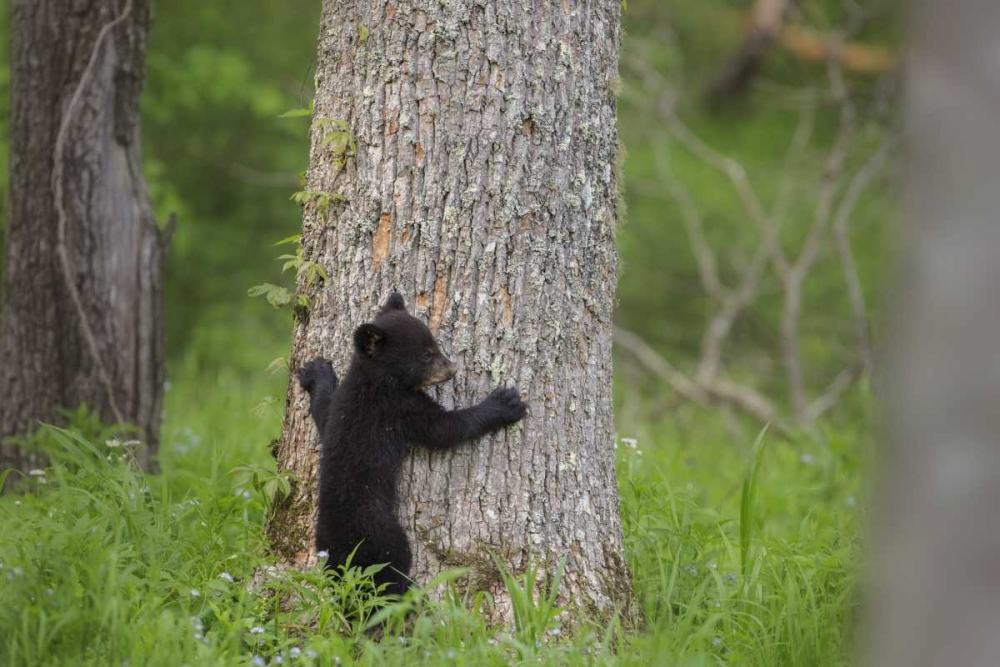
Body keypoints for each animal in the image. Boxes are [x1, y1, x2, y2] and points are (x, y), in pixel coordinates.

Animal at [296, 292, 528, 596]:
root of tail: (341, 555)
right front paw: (504, 404)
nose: (452, 369)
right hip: (385, 537)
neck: (375, 379)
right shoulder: (399, 409)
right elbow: (445, 429)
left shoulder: (340, 409)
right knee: (390, 575)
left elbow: (323, 412)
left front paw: (315, 371)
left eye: (435, 345)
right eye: (426, 354)